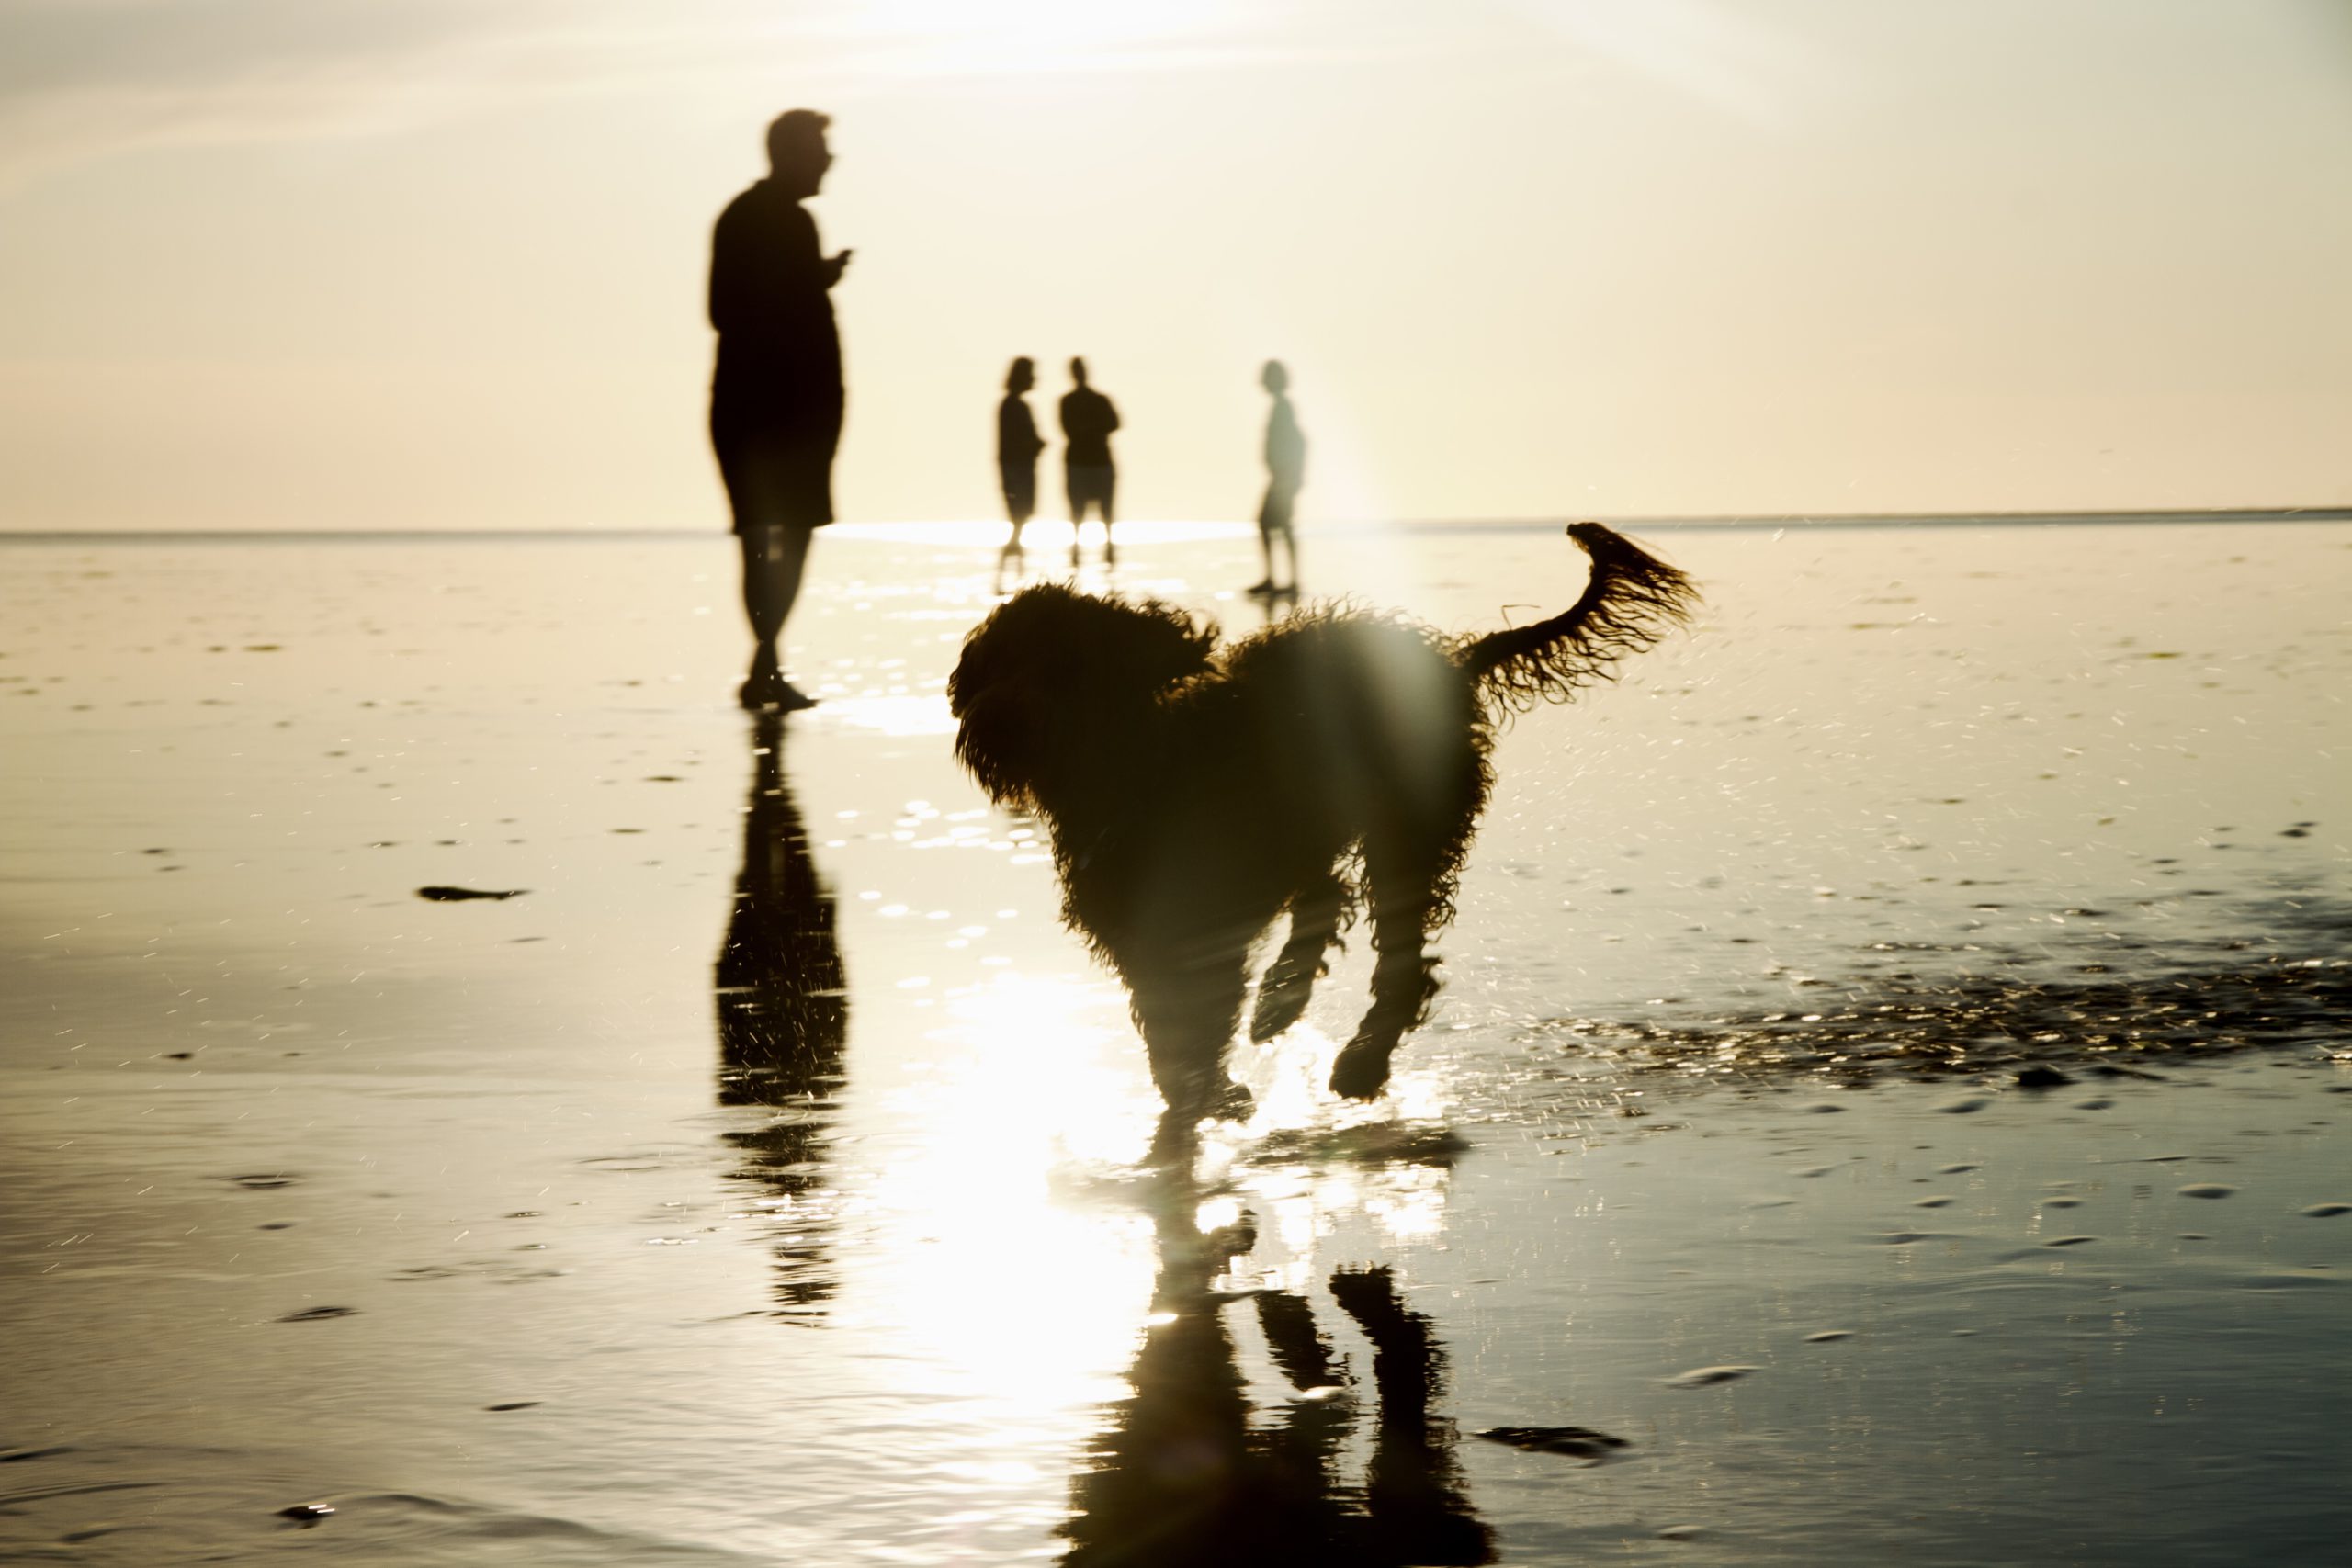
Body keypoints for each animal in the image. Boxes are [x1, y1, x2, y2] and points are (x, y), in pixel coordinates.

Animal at [945, 524, 1702, 1128]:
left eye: (1065, 660)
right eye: (999, 657)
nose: (998, 717)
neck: (1136, 761)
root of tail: (1453, 659)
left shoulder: (1197, 922)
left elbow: (1196, 1016)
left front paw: (1210, 1093)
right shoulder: (1145, 932)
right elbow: (1171, 1021)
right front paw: (1200, 1093)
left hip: (1405, 830)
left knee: (1397, 960)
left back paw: (1358, 1061)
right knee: (1329, 898)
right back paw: (1281, 1005)